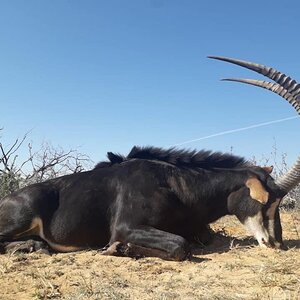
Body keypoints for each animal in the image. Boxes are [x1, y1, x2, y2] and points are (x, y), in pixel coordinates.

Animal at [0, 56, 298, 260]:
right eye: (267, 201)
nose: (277, 243)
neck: (177, 185)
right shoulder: (126, 226)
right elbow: (180, 245)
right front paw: (118, 248)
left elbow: (204, 237)